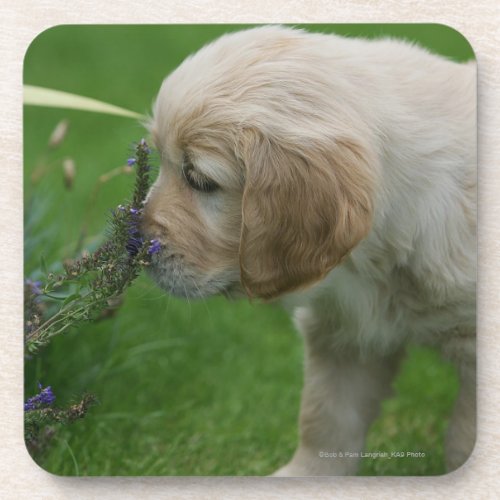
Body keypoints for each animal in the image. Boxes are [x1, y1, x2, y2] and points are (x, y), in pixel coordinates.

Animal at [141, 24, 476, 476]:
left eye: (199, 179)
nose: (134, 243)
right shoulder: (343, 334)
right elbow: (325, 418)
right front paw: (305, 476)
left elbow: (464, 439)